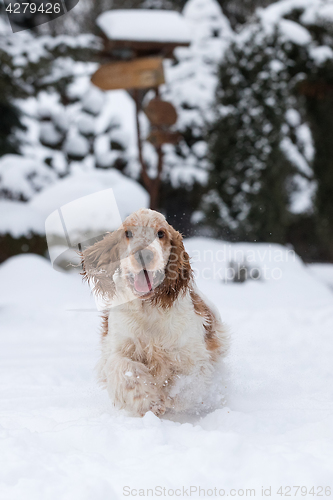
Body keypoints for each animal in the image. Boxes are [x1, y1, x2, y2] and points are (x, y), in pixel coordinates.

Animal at [82, 209, 228, 416]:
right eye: (128, 233)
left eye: (161, 233)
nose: (144, 254)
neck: (148, 307)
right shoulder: (117, 348)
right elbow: (123, 368)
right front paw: (149, 401)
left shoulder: (192, 355)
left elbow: (189, 383)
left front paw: (172, 398)